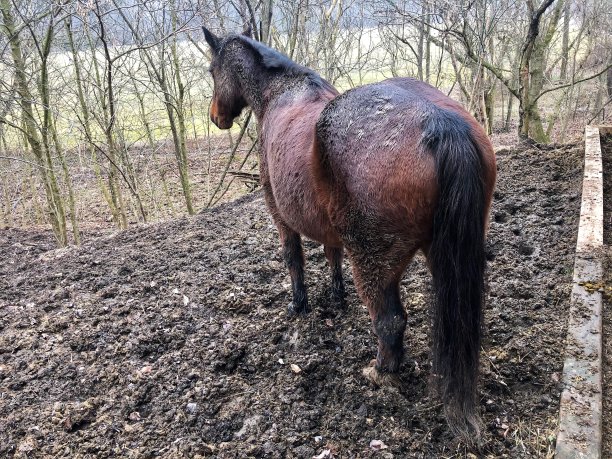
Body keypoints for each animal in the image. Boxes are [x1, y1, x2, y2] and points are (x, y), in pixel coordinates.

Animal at [204, 27, 498, 440]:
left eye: (212, 70)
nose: (216, 117)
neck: (282, 92)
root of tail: (440, 123)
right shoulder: (331, 231)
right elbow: (332, 256)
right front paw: (337, 297)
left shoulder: (280, 217)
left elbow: (293, 260)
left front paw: (299, 306)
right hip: (446, 256)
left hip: (374, 263)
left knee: (389, 321)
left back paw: (379, 371)